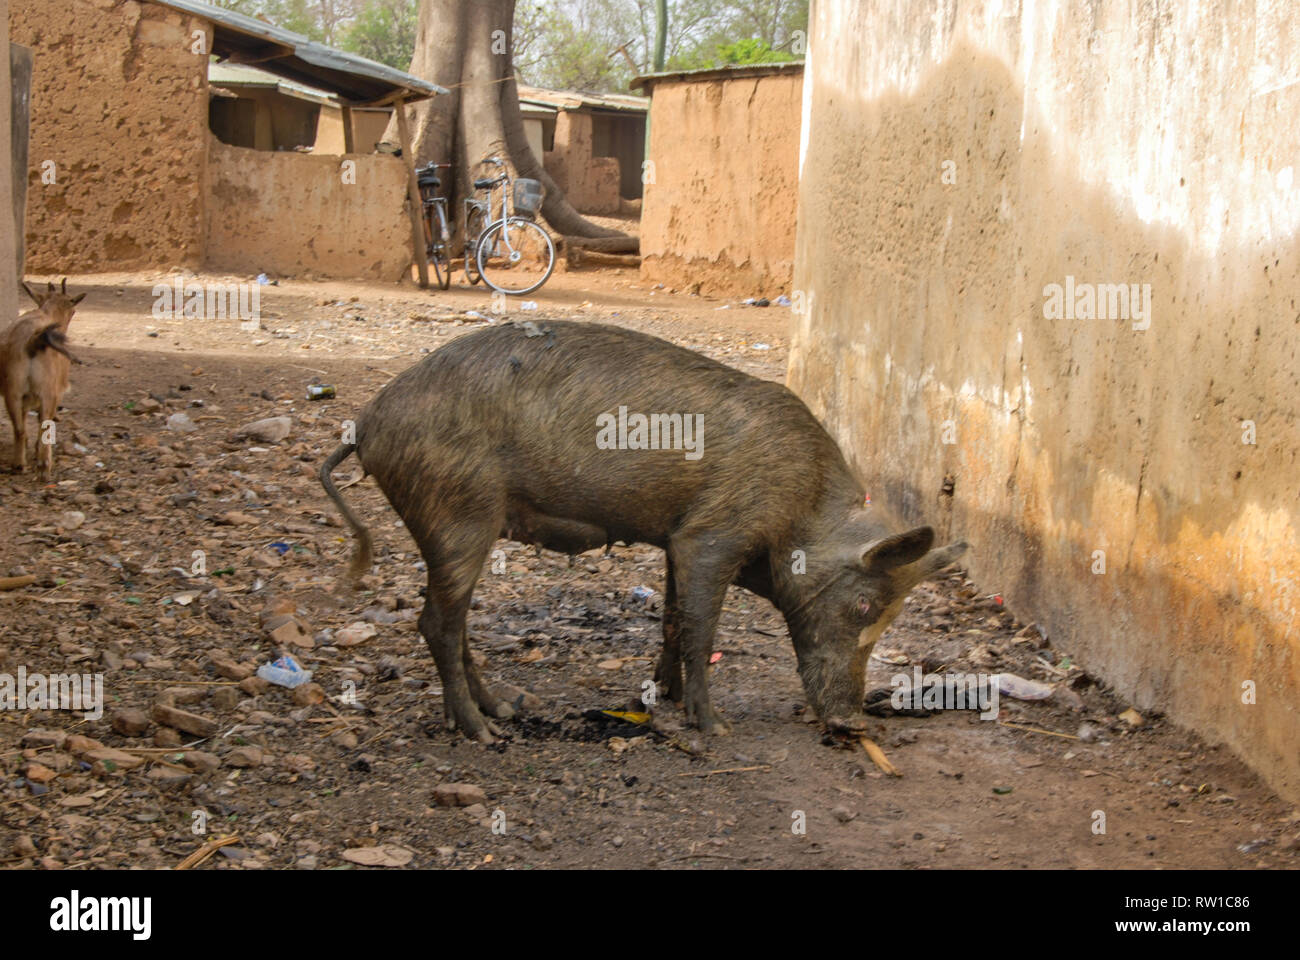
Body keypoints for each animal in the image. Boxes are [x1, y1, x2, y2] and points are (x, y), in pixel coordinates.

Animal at [1, 278, 85, 476]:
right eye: (73, 310)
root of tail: (34, 341)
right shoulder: (56, 392)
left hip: (13, 391)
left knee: (19, 428)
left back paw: (19, 464)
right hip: (48, 392)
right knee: (44, 424)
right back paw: (44, 465)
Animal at [318, 320, 961, 738]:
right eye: (863, 605)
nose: (852, 722)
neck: (802, 508)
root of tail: (364, 425)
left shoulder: (677, 540)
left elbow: (673, 619)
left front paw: (664, 697)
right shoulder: (712, 535)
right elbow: (701, 627)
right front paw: (714, 727)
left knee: (452, 624)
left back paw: (502, 711)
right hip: (458, 512)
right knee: (437, 623)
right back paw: (482, 732)